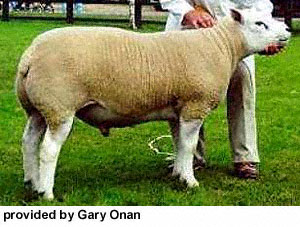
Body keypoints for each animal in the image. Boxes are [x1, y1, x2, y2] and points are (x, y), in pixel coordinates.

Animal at [15, 7, 290, 200]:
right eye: (260, 24)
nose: (287, 30)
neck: (223, 45)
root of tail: (30, 56)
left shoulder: (178, 109)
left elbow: (179, 145)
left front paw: (178, 174)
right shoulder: (195, 105)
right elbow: (189, 146)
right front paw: (190, 181)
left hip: (38, 109)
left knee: (29, 142)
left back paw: (32, 183)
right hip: (59, 107)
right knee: (48, 149)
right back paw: (46, 192)